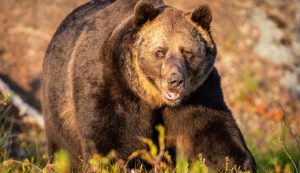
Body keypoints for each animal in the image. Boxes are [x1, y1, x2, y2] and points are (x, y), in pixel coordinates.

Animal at [42, 0, 256, 171]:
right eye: (160, 52)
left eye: (187, 52)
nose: (175, 81)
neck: (152, 97)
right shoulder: (109, 86)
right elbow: (110, 139)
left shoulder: (198, 93)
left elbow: (212, 132)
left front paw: (239, 163)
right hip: (58, 112)